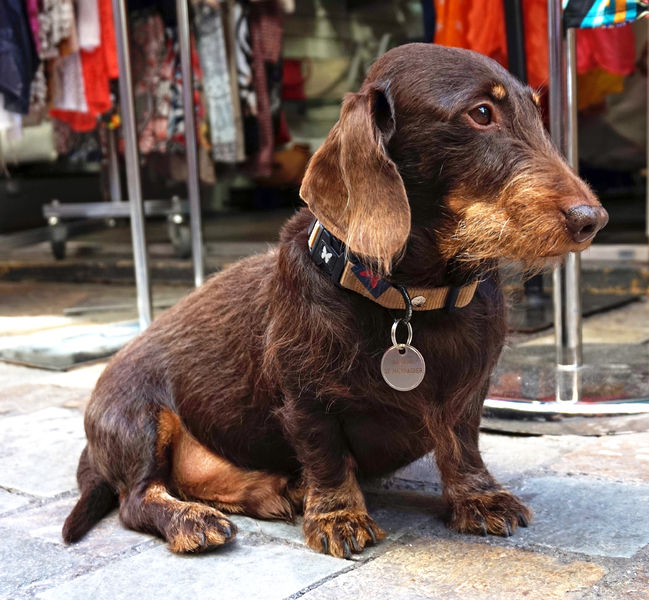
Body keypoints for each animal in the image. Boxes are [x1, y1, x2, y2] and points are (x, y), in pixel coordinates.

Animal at [62, 44, 608, 560]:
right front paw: (337, 515)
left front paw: (478, 498)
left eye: (537, 112)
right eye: (480, 113)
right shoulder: (305, 399)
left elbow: (463, 444)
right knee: (137, 498)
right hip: (137, 419)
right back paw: (191, 520)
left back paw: (270, 490)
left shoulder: (469, 391)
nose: (593, 220)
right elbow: (326, 454)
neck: (412, 300)